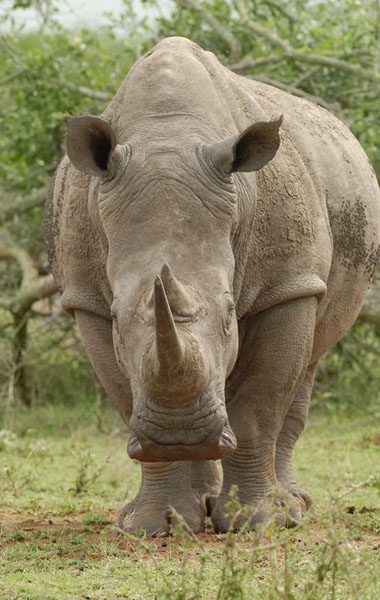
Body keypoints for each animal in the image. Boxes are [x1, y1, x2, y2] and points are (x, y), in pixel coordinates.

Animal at [46, 37, 380, 536]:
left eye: (228, 315)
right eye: (117, 318)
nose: (178, 433)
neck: (168, 133)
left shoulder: (287, 284)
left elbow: (261, 405)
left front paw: (257, 522)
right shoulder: (85, 298)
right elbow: (126, 395)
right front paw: (151, 526)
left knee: (306, 366)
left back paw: (294, 507)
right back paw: (200, 504)